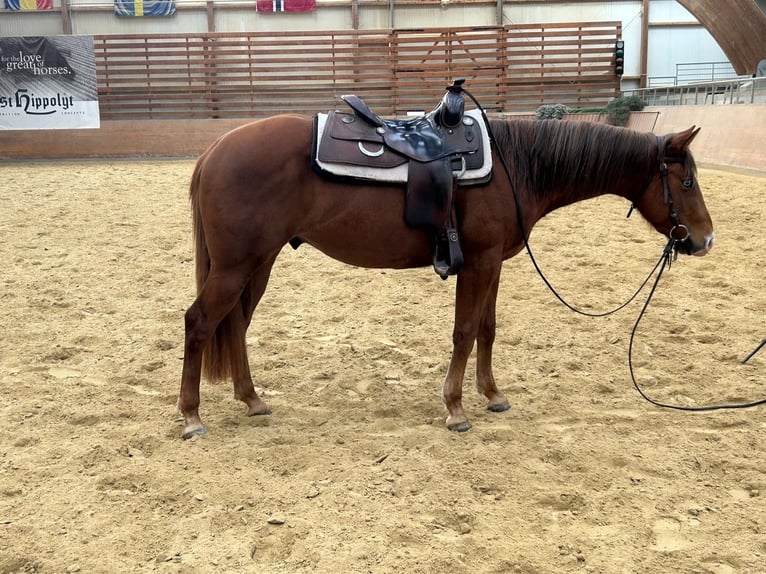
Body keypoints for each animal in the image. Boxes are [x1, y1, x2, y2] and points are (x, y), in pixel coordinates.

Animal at [177, 114, 715, 439]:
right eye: (687, 181)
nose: (705, 240)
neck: (515, 165)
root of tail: (214, 151)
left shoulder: (493, 263)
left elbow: (487, 330)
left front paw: (493, 395)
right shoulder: (478, 263)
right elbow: (464, 331)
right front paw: (455, 408)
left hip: (258, 263)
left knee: (236, 325)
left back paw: (252, 400)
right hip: (237, 266)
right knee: (200, 323)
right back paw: (191, 416)